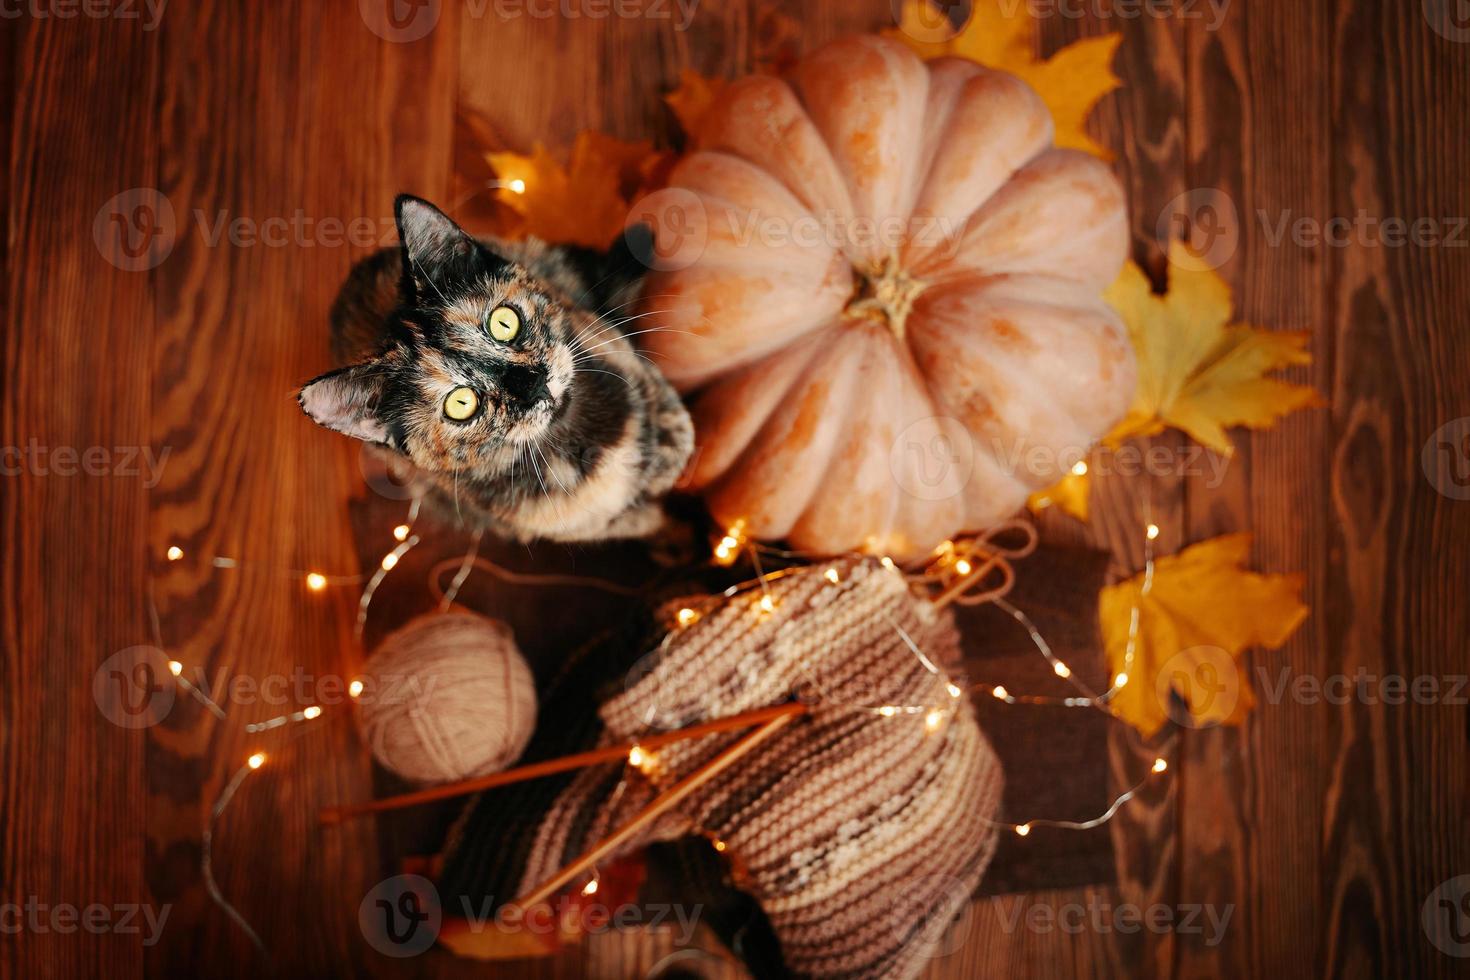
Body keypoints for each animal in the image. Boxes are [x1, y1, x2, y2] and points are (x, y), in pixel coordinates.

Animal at [298, 191, 693, 543]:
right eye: (461, 404)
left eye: (504, 323)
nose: (533, 384)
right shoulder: (583, 526)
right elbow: (641, 521)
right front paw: (677, 535)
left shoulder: (605, 342)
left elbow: (667, 412)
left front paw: (670, 457)